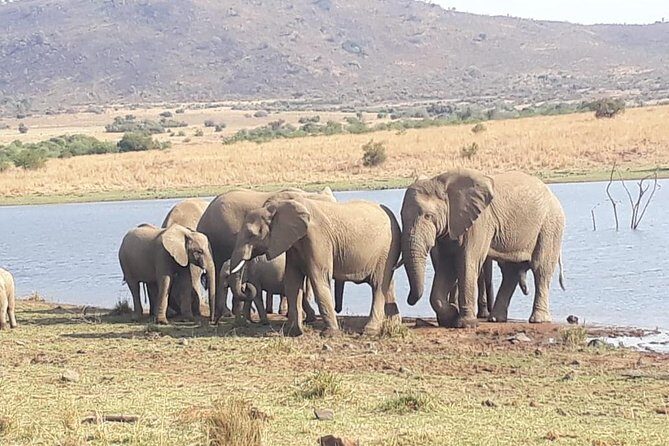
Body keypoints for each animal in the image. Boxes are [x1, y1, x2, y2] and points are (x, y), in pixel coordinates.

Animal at [229, 197, 401, 337]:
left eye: (252, 234)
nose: (246, 287)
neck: (278, 207)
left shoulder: (318, 238)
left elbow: (319, 278)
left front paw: (330, 334)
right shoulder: (293, 243)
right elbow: (292, 281)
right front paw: (294, 332)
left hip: (387, 249)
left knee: (378, 285)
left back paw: (370, 331)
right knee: (387, 285)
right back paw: (395, 325)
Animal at [400, 168, 565, 328]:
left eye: (428, 216)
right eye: (401, 216)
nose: (409, 300)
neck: (441, 182)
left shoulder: (479, 222)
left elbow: (466, 262)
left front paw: (465, 324)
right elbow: (446, 266)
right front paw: (451, 315)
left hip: (550, 224)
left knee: (540, 268)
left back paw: (539, 320)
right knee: (510, 272)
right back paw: (496, 319)